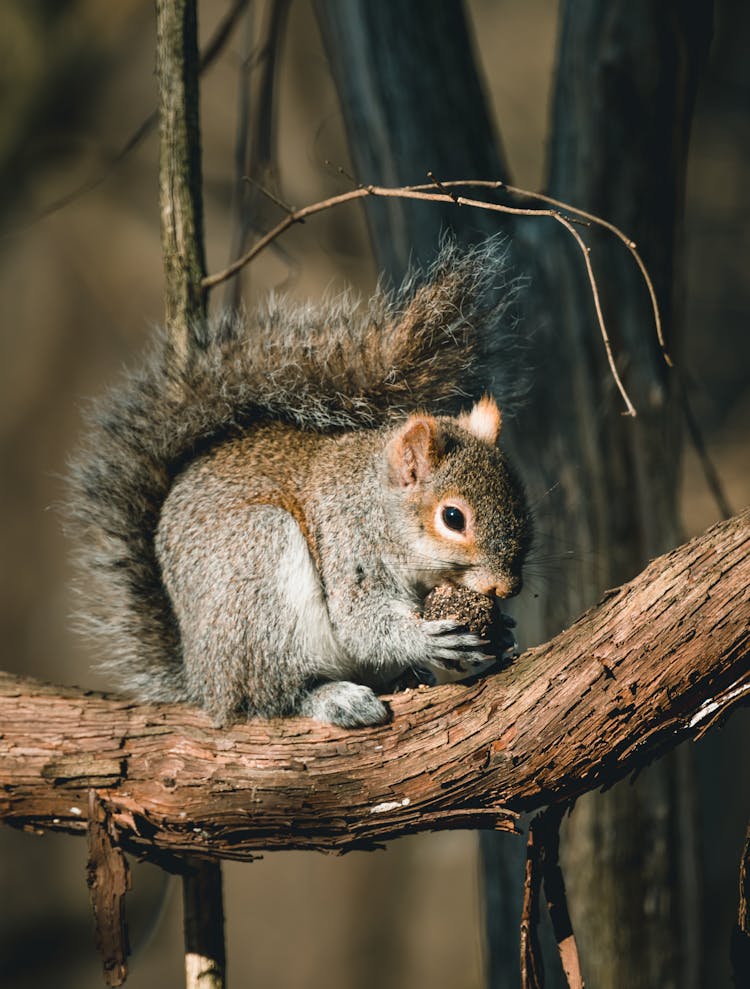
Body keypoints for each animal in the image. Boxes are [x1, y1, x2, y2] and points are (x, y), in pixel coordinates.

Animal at [67, 239, 532, 724]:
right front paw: (426, 640)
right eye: (453, 518)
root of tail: (203, 681)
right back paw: (334, 697)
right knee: (270, 699)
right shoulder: (349, 543)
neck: (378, 504)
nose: (507, 588)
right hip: (258, 580)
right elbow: (361, 623)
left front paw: (501, 631)